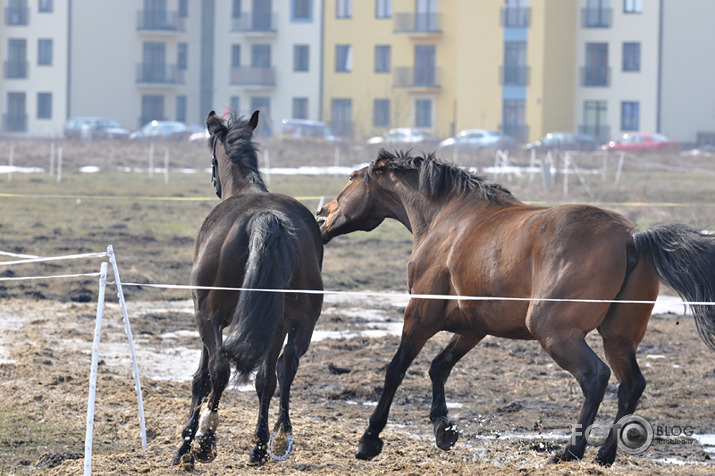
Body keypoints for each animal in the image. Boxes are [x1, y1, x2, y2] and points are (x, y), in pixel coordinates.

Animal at [172, 110, 324, 468]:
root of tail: (265, 217)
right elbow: (265, 379)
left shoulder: (207, 318)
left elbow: (202, 378)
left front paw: (186, 445)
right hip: (294, 322)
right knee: (281, 370)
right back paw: (271, 440)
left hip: (209, 316)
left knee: (220, 369)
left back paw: (205, 440)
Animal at [318, 149, 715, 464]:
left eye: (351, 178)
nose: (322, 213)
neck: (447, 219)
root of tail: (632, 237)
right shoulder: (473, 327)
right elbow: (439, 367)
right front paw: (444, 429)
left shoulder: (420, 315)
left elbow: (396, 370)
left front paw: (369, 440)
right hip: (617, 338)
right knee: (630, 385)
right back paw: (604, 455)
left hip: (555, 333)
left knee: (595, 377)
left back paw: (570, 450)